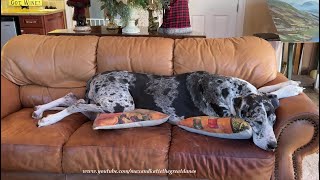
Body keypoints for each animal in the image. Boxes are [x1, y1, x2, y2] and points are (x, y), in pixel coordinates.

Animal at [32, 70, 304, 150]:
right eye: (256, 121)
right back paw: (47, 121)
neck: (232, 92)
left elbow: (268, 87)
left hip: (102, 105)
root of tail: (94, 78)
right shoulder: (227, 113)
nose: (273, 146)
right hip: (122, 104)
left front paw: (293, 84)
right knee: (76, 103)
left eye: (274, 121)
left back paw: (39, 111)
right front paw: (292, 88)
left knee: (70, 97)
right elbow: (270, 91)